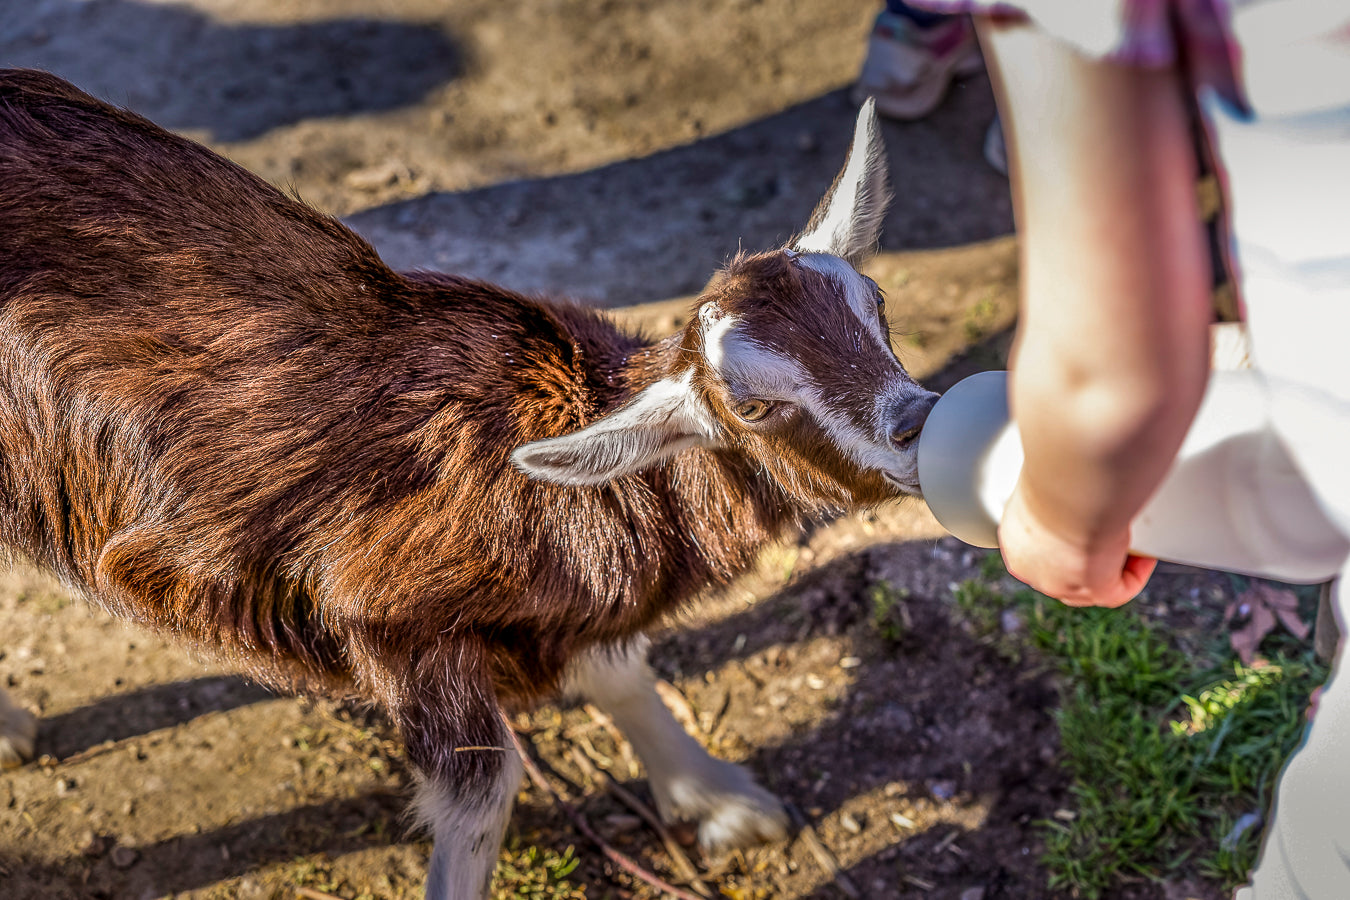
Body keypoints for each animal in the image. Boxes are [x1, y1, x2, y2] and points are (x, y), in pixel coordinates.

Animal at [0, 69, 938, 898]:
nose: (919, 424)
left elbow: (617, 670)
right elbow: (485, 793)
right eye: (752, 404)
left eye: (878, 305)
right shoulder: (385, 622)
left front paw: (717, 799)